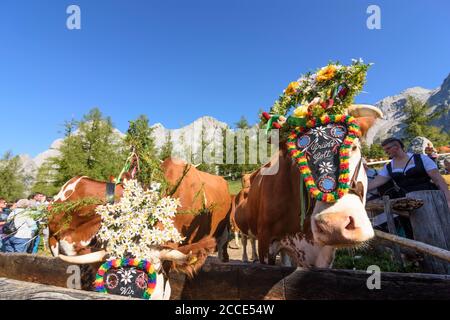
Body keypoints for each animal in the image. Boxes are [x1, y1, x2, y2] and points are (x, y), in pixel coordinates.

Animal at [232, 105, 384, 268]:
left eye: (354, 147)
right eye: (299, 159)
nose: (334, 225)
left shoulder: (322, 254)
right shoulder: (265, 243)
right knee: (246, 240)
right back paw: (247, 257)